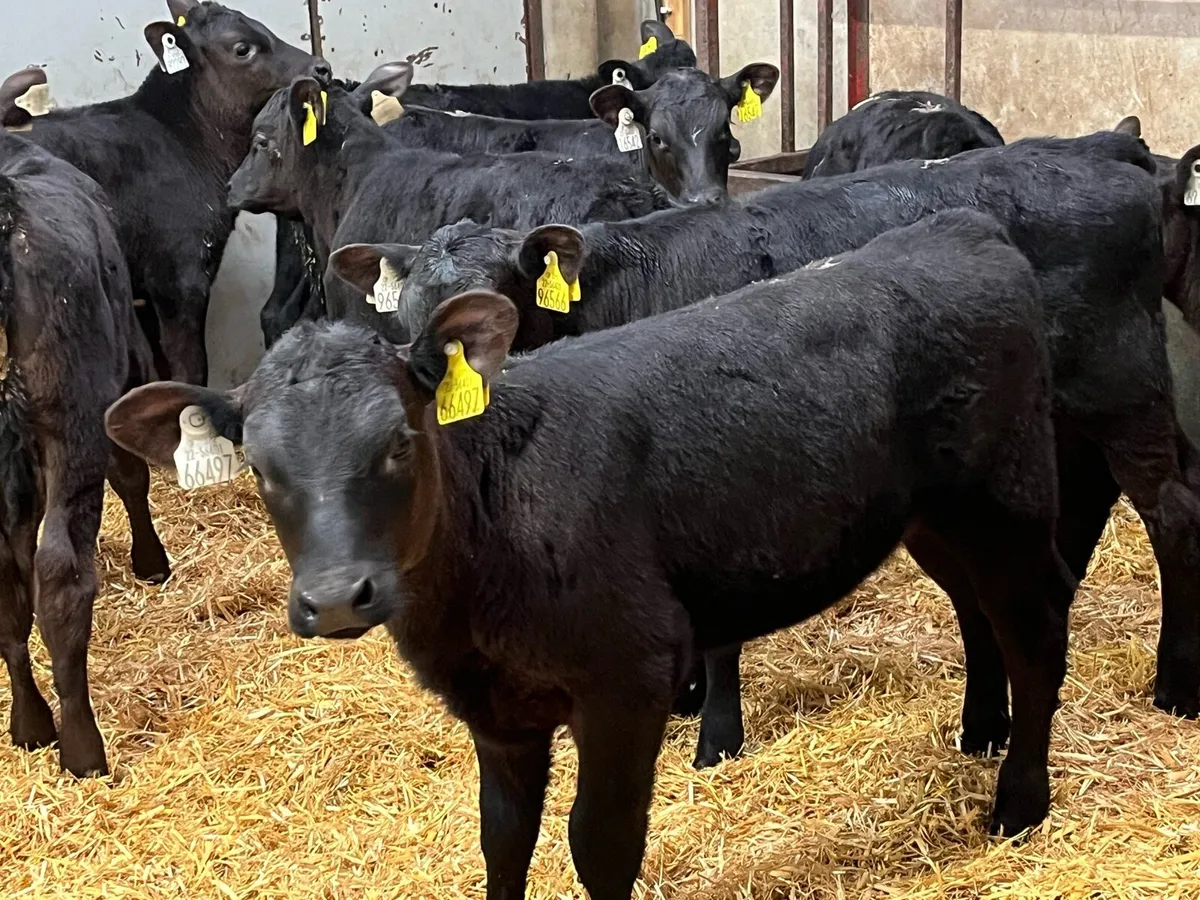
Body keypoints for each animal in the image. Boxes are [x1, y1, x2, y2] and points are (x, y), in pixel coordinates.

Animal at [0, 134, 166, 778]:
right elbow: (133, 474)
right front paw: (151, 562)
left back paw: (30, 724)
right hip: (76, 420)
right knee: (61, 571)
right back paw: (82, 746)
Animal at [108, 210, 1072, 897]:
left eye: (400, 442)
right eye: (261, 469)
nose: (341, 596)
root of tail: (958, 225)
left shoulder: (627, 679)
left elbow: (598, 845)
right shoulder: (498, 713)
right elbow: (502, 841)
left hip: (1009, 499)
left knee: (1035, 629)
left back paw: (1019, 802)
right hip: (934, 517)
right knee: (976, 611)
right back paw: (979, 732)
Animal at [330, 132, 1199, 771]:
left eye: (499, 306)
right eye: (406, 316)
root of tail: (1106, 153)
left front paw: (716, 732)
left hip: (1121, 383)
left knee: (1171, 509)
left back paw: (1173, 684)